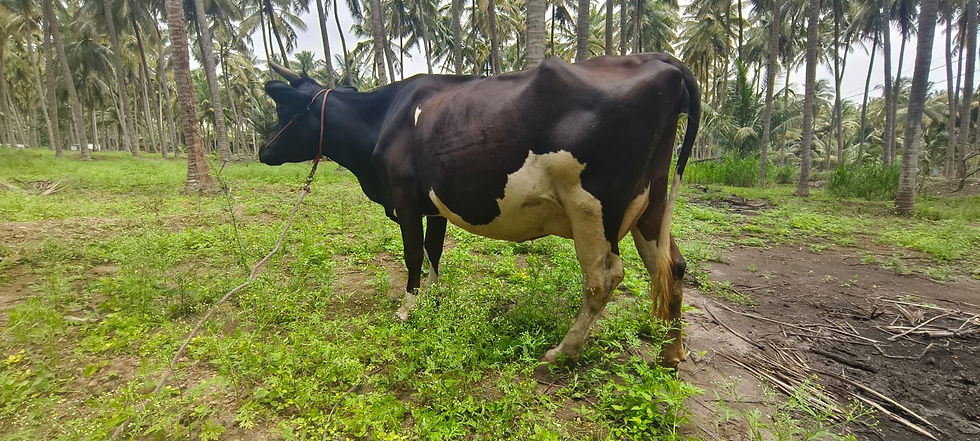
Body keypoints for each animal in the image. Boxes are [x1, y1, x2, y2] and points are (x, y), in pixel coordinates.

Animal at [259, 53, 700, 368]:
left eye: (283, 111)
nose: (263, 150)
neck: (385, 116)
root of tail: (661, 60)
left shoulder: (405, 198)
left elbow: (413, 252)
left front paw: (408, 307)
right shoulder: (433, 205)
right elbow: (434, 250)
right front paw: (435, 297)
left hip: (591, 205)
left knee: (603, 277)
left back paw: (562, 352)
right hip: (651, 202)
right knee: (671, 266)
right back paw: (670, 353)